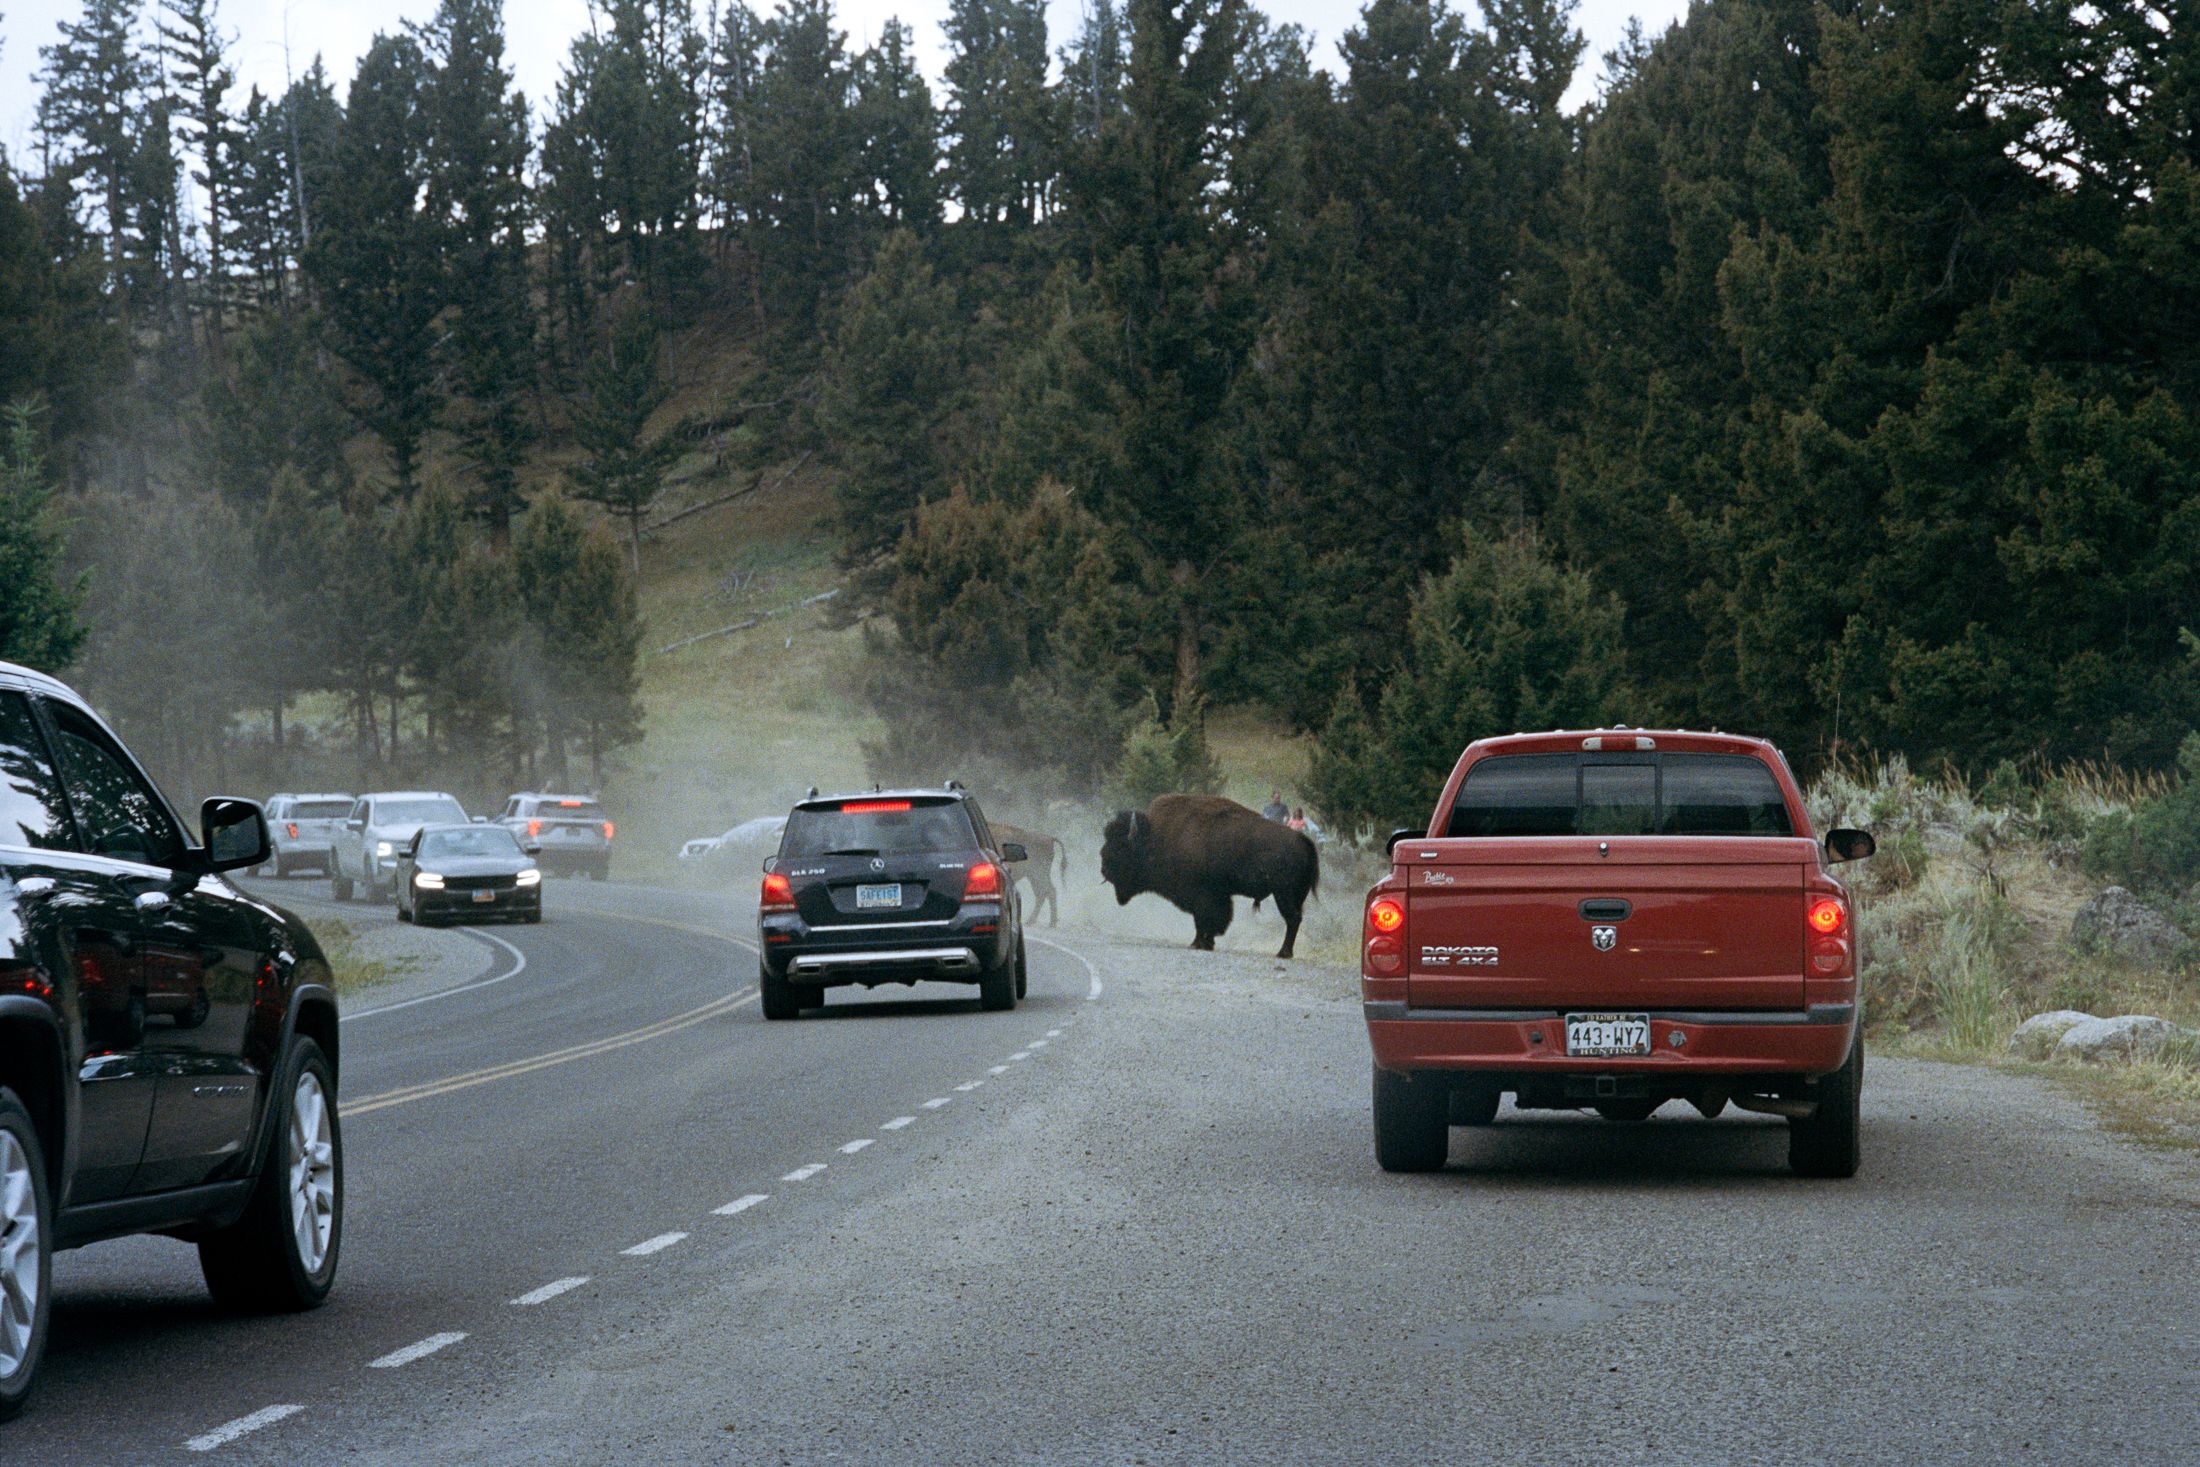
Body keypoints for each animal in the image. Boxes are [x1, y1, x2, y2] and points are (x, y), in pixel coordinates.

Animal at [1095, 796, 1311, 958]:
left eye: (1120, 847)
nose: (1104, 869)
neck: (1155, 838)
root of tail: (1302, 840)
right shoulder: (1218, 896)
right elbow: (1211, 919)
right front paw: (1206, 943)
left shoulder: (1201, 895)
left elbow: (1203, 919)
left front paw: (1198, 943)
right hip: (1295, 895)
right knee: (1295, 919)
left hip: (1283, 894)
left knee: (1292, 919)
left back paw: (1283, 953)